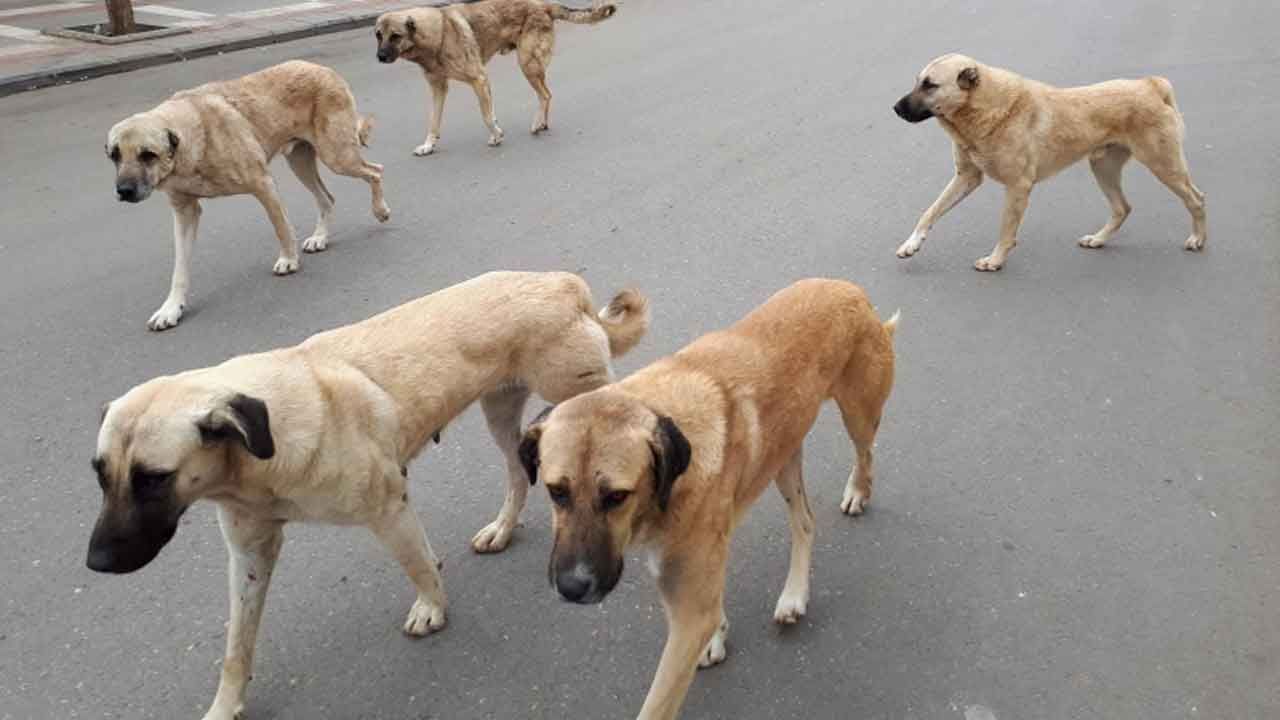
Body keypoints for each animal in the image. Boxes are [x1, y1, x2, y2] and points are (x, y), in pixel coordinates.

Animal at [83, 270, 650, 717]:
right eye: (100, 473)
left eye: (153, 477)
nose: (96, 563)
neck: (259, 448)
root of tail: (561, 281)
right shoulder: (249, 553)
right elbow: (235, 647)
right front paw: (225, 706)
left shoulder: (389, 509)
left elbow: (417, 565)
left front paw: (431, 607)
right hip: (501, 410)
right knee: (517, 474)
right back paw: (503, 528)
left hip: (574, 400)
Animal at [105, 60, 389, 330]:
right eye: (114, 155)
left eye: (147, 155)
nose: (124, 191)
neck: (193, 140)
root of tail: (323, 69)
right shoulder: (185, 212)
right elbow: (180, 269)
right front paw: (171, 308)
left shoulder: (263, 184)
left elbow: (281, 228)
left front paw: (288, 259)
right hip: (300, 161)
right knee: (327, 198)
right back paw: (320, 237)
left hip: (338, 156)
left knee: (375, 171)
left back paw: (381, 210)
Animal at [373, 0, 619, 154]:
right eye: (378, 35)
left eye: (395, 36)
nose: (380, 57)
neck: (437, 33)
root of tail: (544, 4)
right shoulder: (438, 88)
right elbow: (434, 121)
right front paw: (428, 146)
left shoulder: (479, 79)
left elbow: (486, 115)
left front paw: (496, 135)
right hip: (531, 66)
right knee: (546, 95)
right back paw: (543, 123)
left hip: (527, 64)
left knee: (546, 95)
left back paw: (537, 123)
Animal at [514, 279, 896, 717]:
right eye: (555, 491)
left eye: (616, 496)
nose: (572, 588)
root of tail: (850, 289)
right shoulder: (685, 587)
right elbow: (712, 605)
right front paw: (718, 636)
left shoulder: (688, 614)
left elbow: (656, 706)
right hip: (783, 457)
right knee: (805, 521)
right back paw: (794, 595)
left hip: (859, 415)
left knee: (866, 453)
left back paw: (858, 491)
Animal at [890, 53, 1208, 270]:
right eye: (918, 82)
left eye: (930, 85)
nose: (894, 108)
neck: (986, 109)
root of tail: (1151, 85)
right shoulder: (966, 178)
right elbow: (930, 212)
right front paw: (911, 244)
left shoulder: (1018, 187)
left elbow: (1006, 230)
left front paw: (995, 260)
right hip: (1103, 167)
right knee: (1122, 208)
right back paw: (1098, 239)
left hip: (1164, 165)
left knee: (1197, 199)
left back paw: (1198, 239)